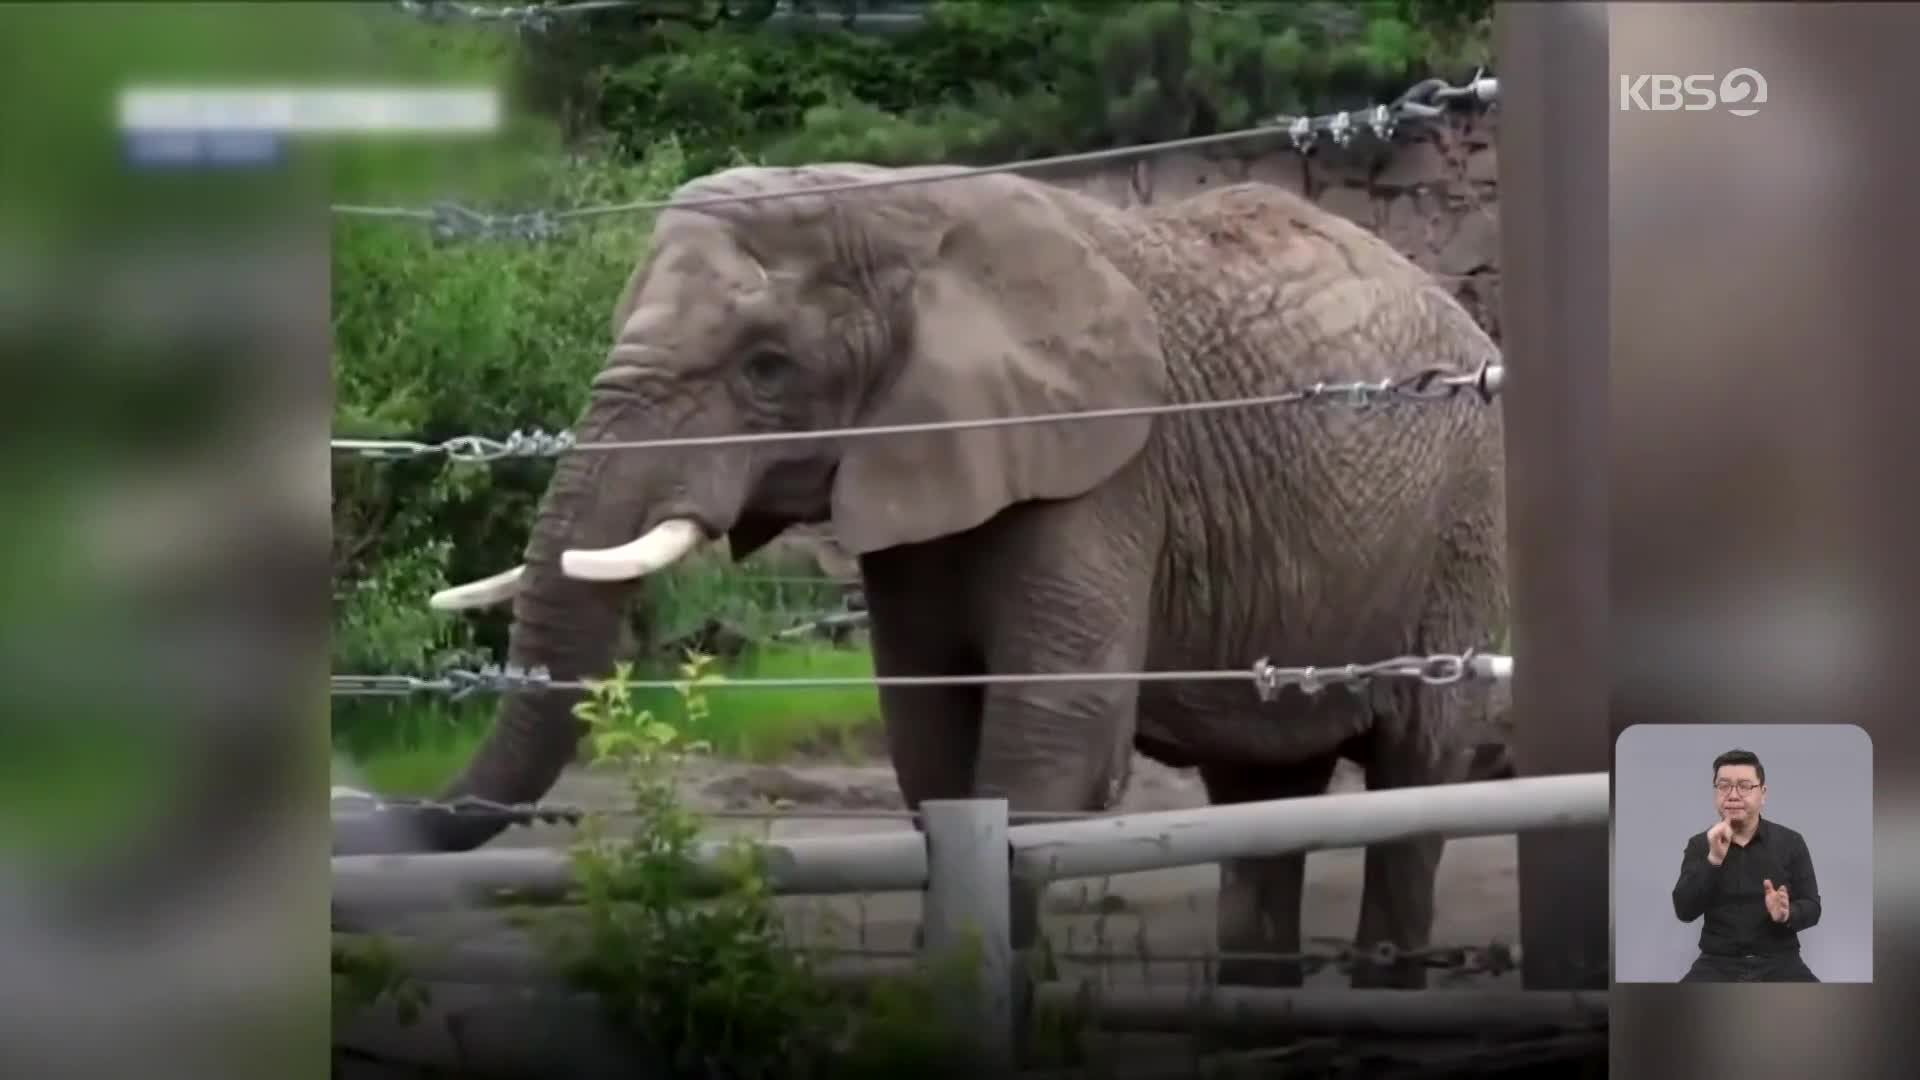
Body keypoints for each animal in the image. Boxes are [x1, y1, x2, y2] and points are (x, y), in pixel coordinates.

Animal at [412, 164, 1505, 991]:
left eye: (767, 368)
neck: (906, 213)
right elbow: (930, 733)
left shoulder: (1104, 472)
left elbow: (1053, 738)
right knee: (1263, 790)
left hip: (1463, 521)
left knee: (1415, 769)